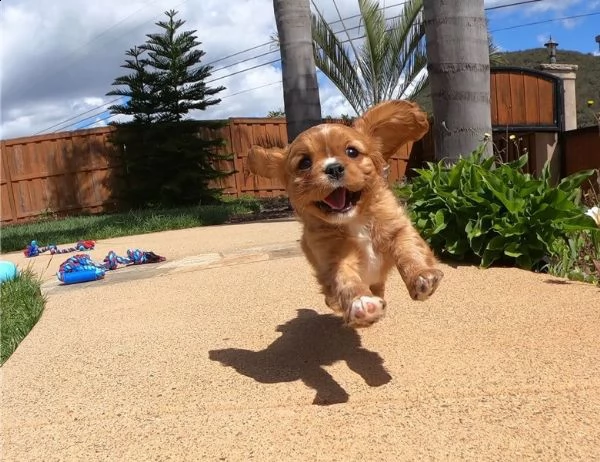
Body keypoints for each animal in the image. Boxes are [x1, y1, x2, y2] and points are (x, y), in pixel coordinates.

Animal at [246, 99, 442, 326]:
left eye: (352, 152)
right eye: (305, 163)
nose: (333, 168)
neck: (355, 219)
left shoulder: (398, 228)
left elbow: (409, 250)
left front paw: (422, 275)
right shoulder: (333, 258)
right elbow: (345, 279)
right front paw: (361, 303)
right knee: (331, 293)